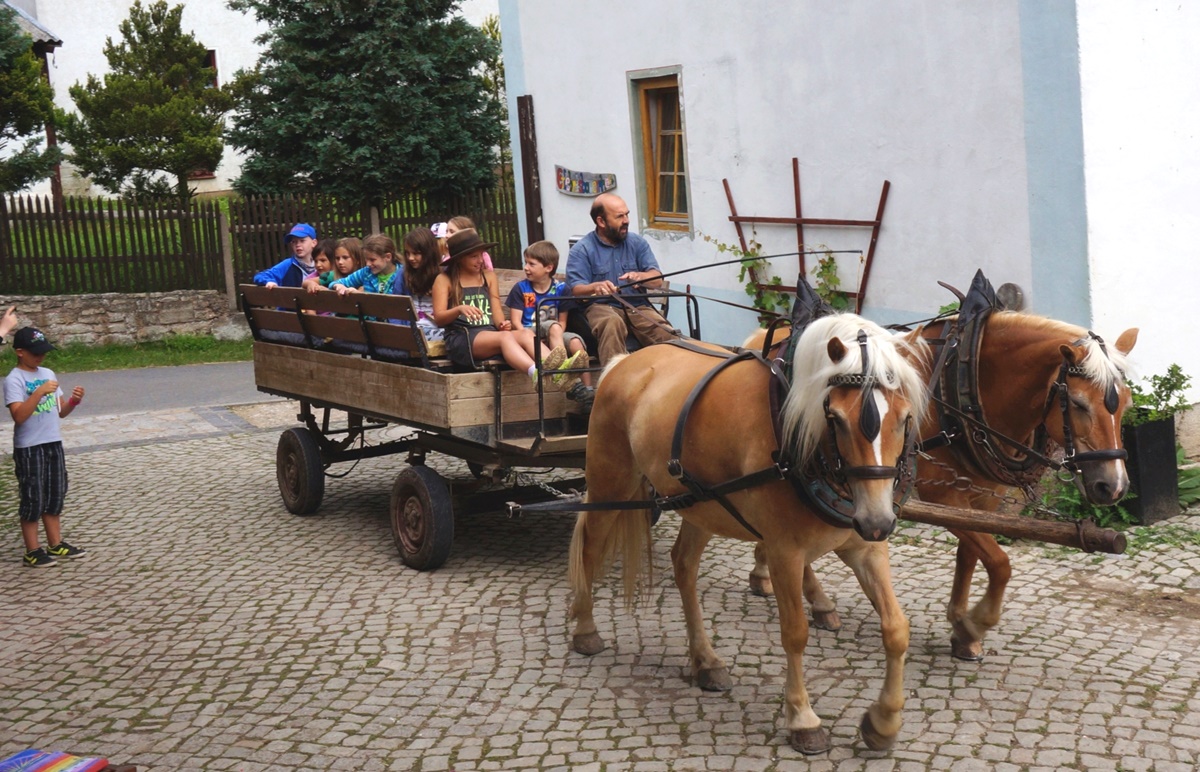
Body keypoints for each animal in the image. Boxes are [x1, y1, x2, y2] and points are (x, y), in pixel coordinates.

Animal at [568, 314, 926, 753]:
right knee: (589, 548)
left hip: (702, 503)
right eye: (837, 419)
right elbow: (795, 633)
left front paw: (884, 721)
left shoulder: (865, 549)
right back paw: (586, 630)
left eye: (904, 417)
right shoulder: (784, 551)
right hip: (611, 484)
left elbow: (896, 628)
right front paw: (802, 718)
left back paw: (706, 661)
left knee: (683, 565)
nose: (877, 520)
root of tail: (623, 363)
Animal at [748, 312, 1132, 662]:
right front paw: (976, 623)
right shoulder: (943, 494)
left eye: (1126, 403)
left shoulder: (982, 500)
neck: (964, 385)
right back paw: (814, 598)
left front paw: (962, 629)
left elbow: (971, 556)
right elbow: (999, 562)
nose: (1113, 486)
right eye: (1079, 404)